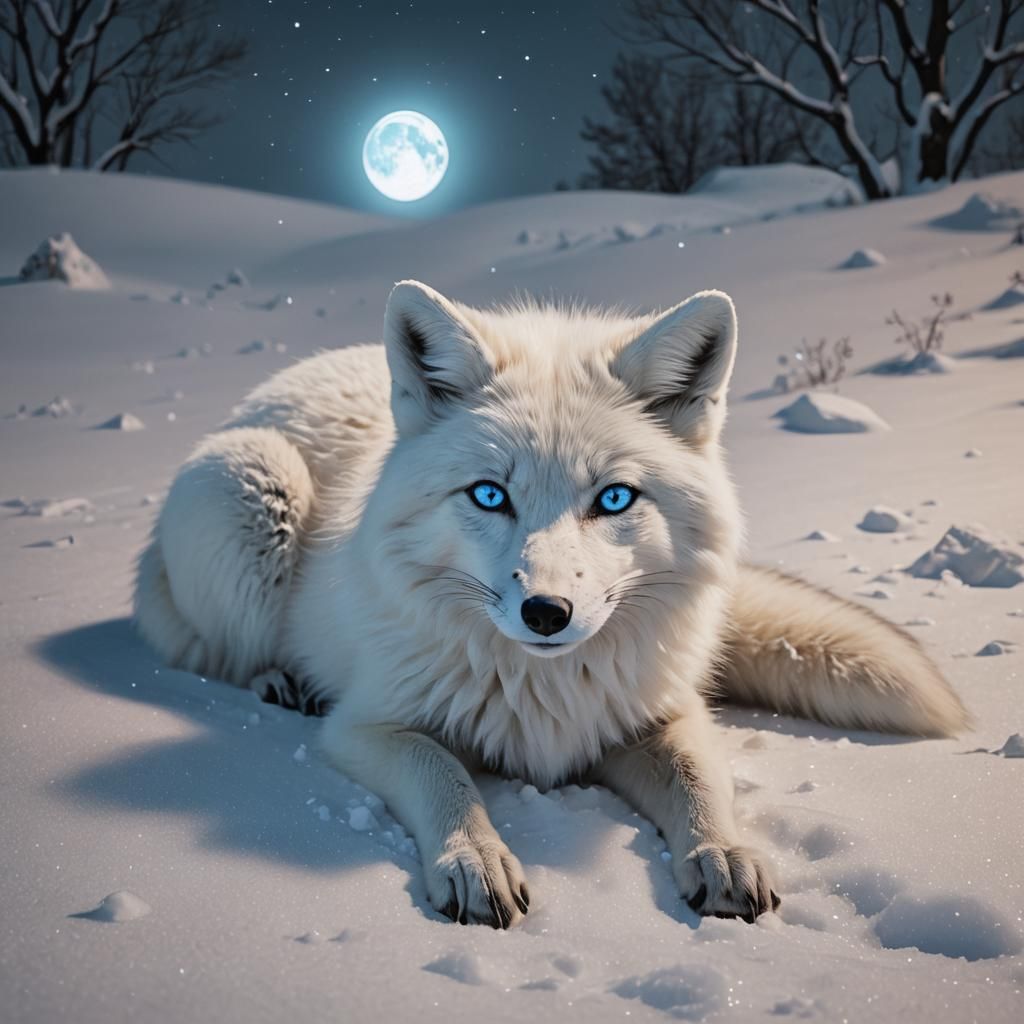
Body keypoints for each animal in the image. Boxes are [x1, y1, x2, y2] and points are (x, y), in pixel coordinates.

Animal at [134, 280, 970, 928]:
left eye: (614, 498)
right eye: (489, 495)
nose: (546, 612)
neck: (543, 690)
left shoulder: (650, 715)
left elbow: (699, 781)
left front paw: (722, 853)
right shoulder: (366, 727)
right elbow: (445, 772)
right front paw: (475, 858)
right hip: (252, 490)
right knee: (219, 652)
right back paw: (280, 680)